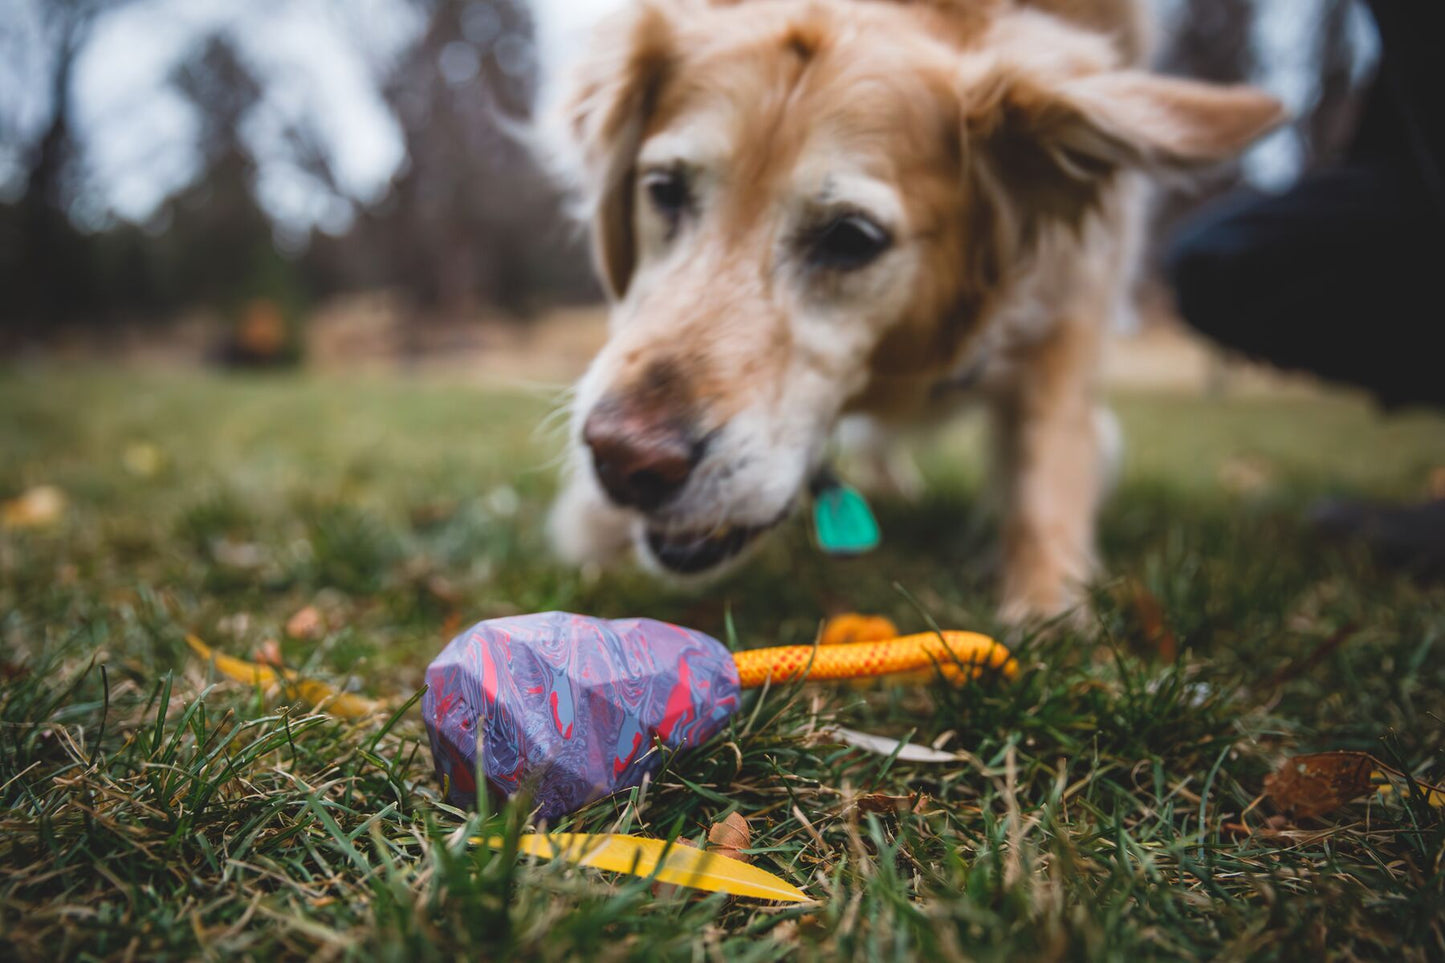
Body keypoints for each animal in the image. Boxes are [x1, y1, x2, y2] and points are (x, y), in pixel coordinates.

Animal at [540, 0, 1277, 621]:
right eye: (664, 190)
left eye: (851, 238)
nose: (624, 459)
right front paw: (594, 526)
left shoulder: (1075, 290)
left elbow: (1049, 456)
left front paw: (1047, 607)